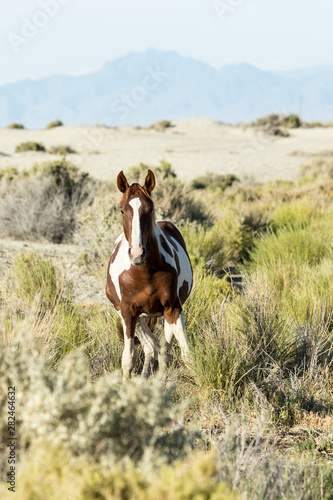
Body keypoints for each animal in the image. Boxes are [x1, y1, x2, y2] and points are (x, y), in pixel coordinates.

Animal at [105, 170, 193, 376]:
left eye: (150, 209)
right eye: (122, 210)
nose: (137, 253)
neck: (144, 274)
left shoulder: (173, 309)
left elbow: (186, 355)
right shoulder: (127, 312)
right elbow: (128, 359)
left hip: (166, 316)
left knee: (161, 349)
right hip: (130, 314)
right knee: (151, 346)